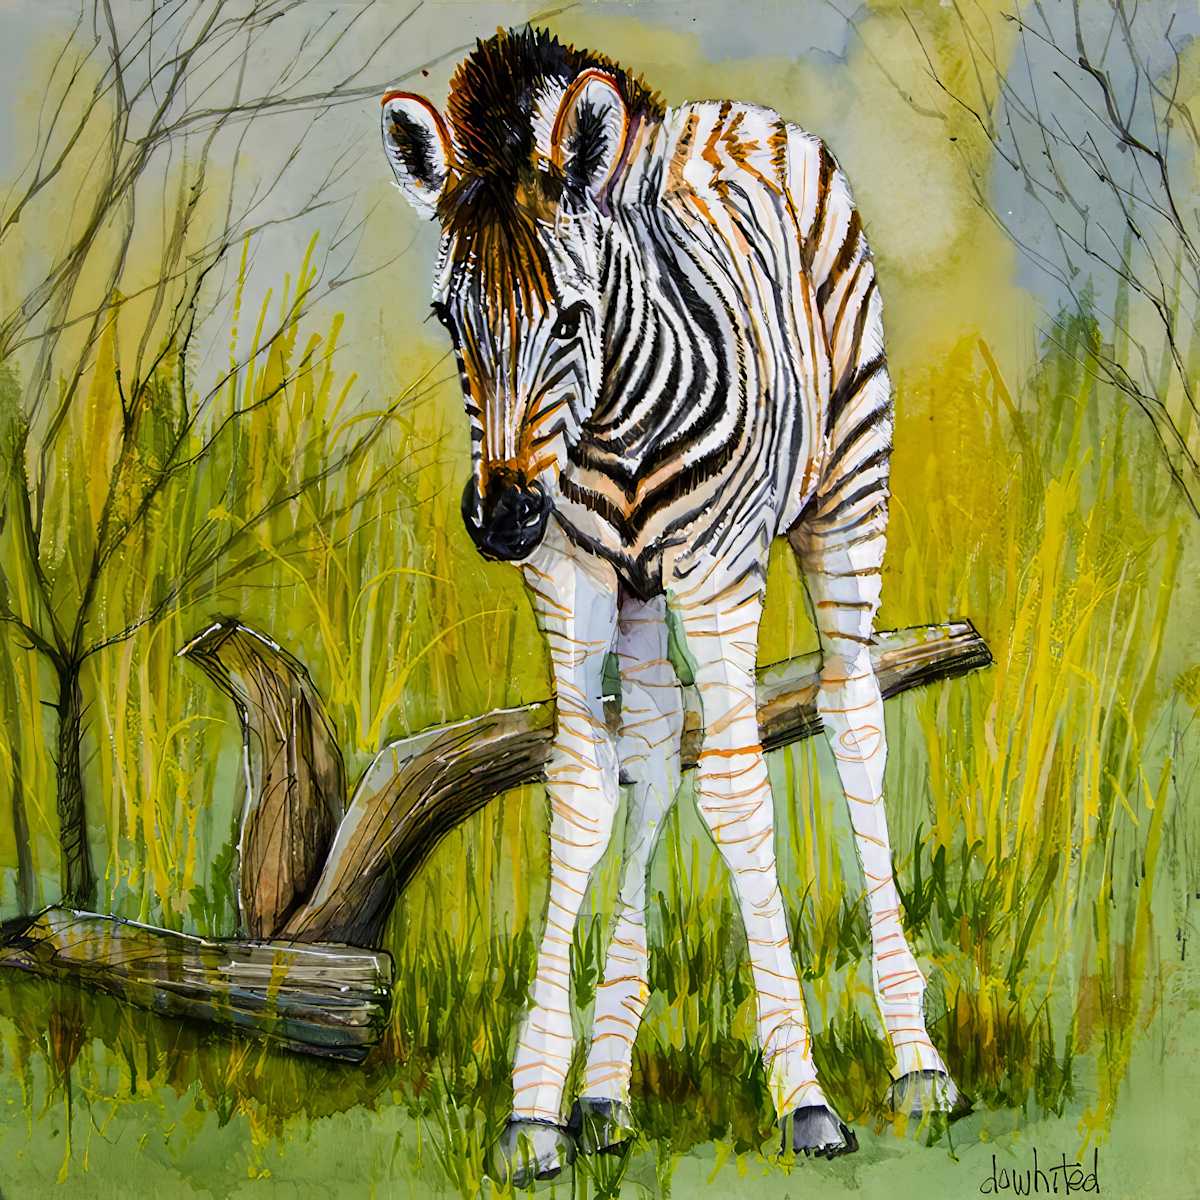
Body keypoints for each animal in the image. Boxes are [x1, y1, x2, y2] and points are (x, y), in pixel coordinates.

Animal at [381, 26, 966, 1186]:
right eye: (447, 317)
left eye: (572, 316)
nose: (500, 519)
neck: (609, 421)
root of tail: (736, 111)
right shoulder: (570, 575)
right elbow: (581, 784)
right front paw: (536, 1108)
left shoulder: (716, 570)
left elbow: (739, 796)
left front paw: (805, 1096)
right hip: (640, 591)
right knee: (652, 745)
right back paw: (607, 1089)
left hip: (848, 493)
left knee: (853, 718)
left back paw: (916, 1057)